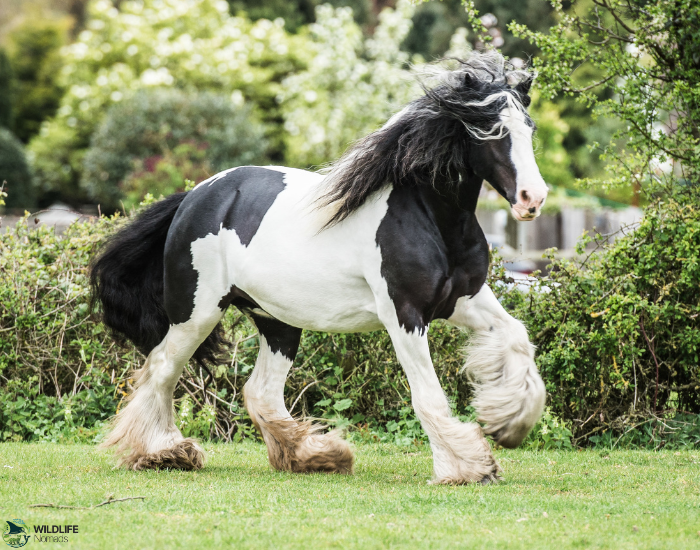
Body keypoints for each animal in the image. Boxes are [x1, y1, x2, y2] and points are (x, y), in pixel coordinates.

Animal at [90, 51, 548, 485]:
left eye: (529, 129)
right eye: (491, 132)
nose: (533, 198)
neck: (431, 218)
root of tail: (194, 195)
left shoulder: (465, 299)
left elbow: (516, 337)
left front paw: (509, 424)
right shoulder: (404, 315)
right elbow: (428, 395)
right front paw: (468, 467)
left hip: (276, 322)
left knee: (260, 391)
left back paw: (315, 456)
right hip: (196, 314)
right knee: (161, 370)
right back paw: (164, 453)